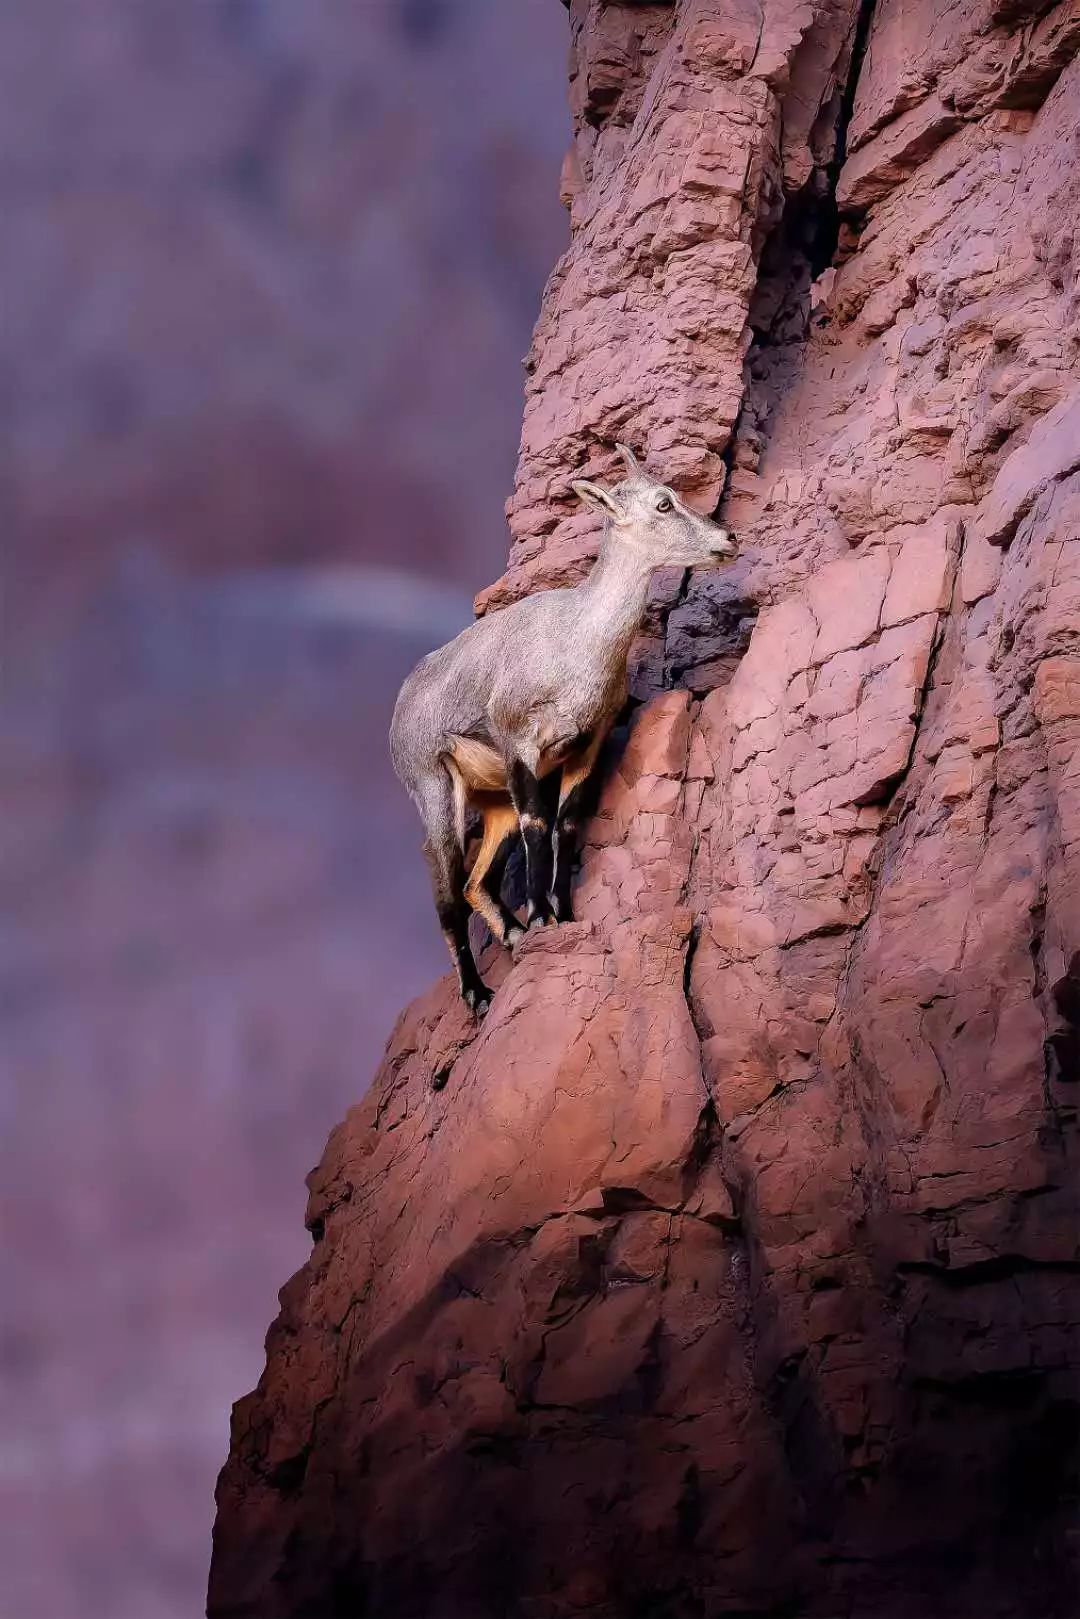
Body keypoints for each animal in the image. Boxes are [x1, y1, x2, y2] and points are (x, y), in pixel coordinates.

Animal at [388, 446, 735, 1010]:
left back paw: (511, 935)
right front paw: (541, 917)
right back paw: (478, 991)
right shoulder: (520, 744)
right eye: (663, 503)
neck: (577, 642)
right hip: (436, 788)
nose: (727, 538)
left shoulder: (584, 749)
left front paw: (563, 916)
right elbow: (538, 823)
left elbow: (566, 824)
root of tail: (401, 703)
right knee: (446, 891)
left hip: (494, 802)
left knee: (475, 881)